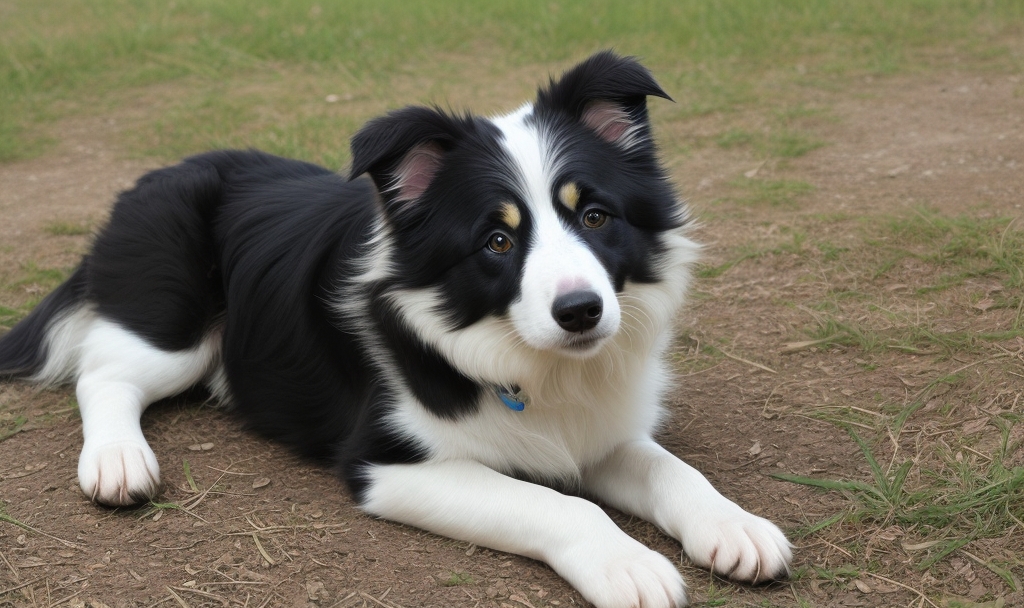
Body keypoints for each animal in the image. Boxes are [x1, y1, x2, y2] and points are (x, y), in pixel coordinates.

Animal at [0, 52, 790, 605]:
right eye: (497, 240)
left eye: (595, 215)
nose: (580, 312)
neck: (531, 363)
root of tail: (152, 177)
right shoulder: (386, 464)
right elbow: (553, 502)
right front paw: (628, 566)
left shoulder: (597, 431)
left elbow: (670, 469)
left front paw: (735, 527)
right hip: (175, 329)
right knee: (106, 373)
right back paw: (118, 461)